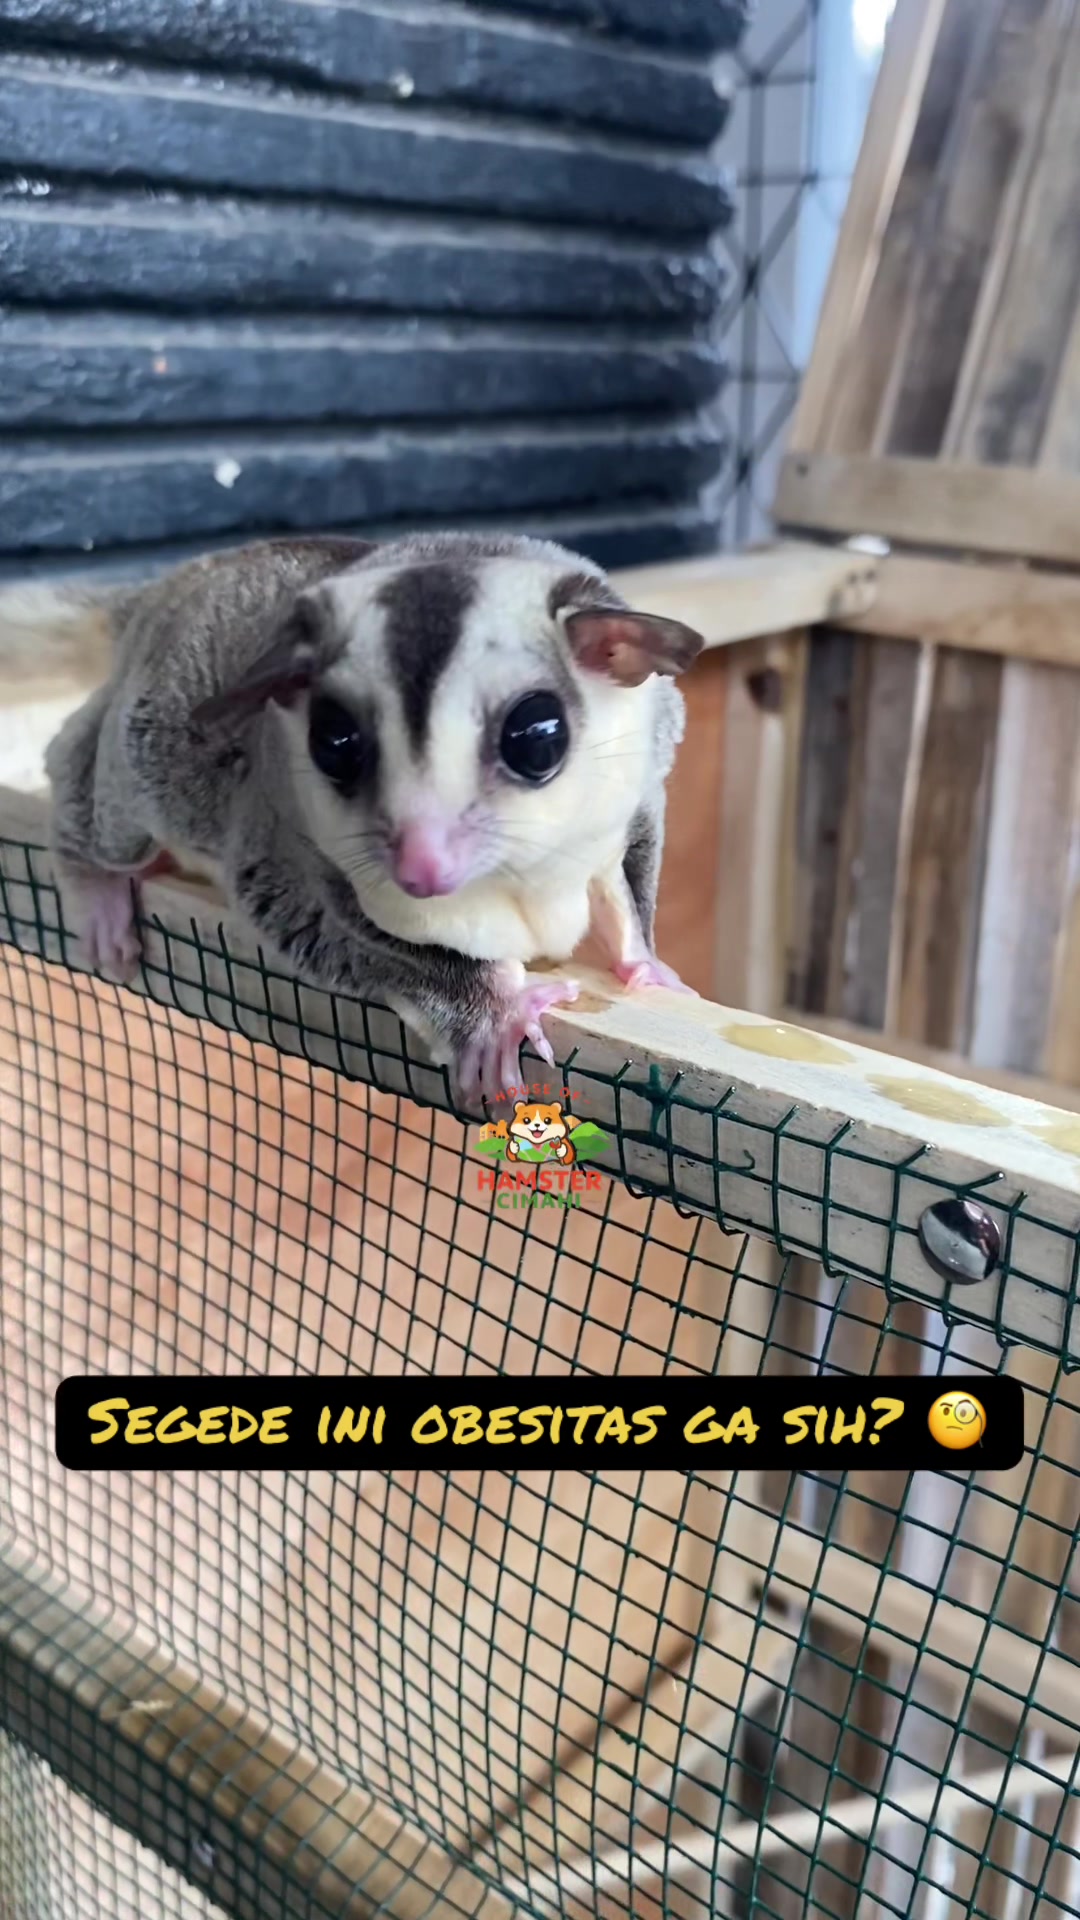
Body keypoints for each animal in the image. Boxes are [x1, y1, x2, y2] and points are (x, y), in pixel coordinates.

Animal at [12, 531, 704, 1103]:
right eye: (334, 743)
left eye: (536, 738)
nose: (421, 868)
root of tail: (164, 586)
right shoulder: (287, 835)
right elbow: (335, 924)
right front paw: (493, 1013)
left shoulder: (646, 767)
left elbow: (628, 879)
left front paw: (647, 965)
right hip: (148, 738)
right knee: (98, 772)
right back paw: (95, 881)